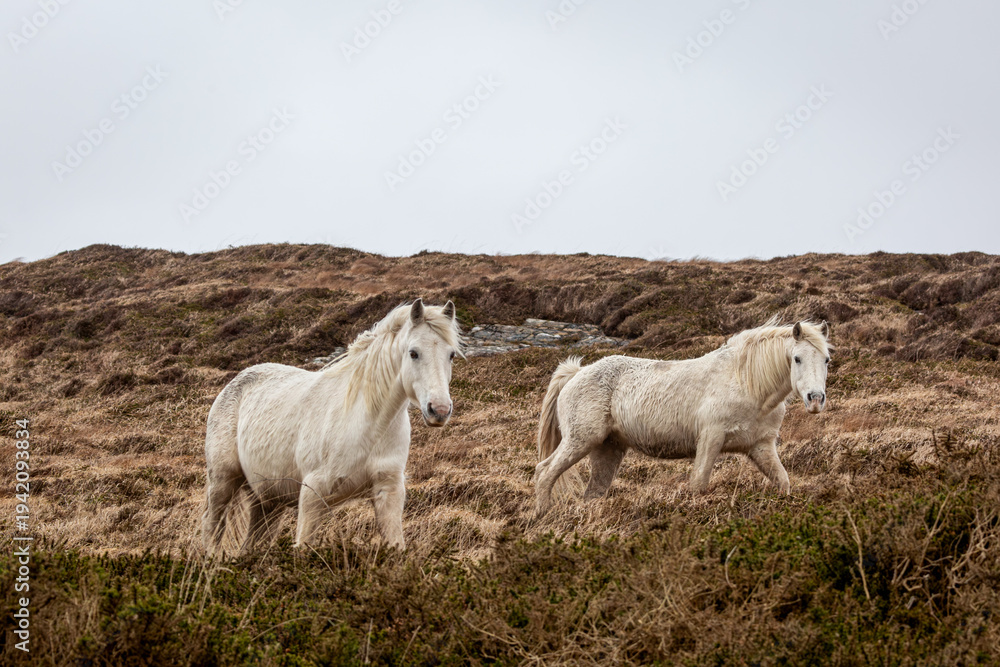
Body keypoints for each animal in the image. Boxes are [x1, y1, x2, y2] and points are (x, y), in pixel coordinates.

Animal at [202, 299, 461, 553]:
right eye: (413, 353)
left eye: (451, 355)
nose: (439, 410)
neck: (369, 425)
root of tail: (236, 380)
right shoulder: (312, 495)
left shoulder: (389, 491)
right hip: (223, 482)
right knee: (212, 527)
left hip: (269, 501)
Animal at [533, 319, 831, 518]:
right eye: (797, 358)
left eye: (826, 359)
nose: (815, 399)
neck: (745, 382)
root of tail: (577, 373)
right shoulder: (711, 439)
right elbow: (698, 484)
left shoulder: (761, 447)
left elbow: (783, 482)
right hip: (580, 440)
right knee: (545, 472)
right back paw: (542, 516)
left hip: (608, 449)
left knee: (592, 492)